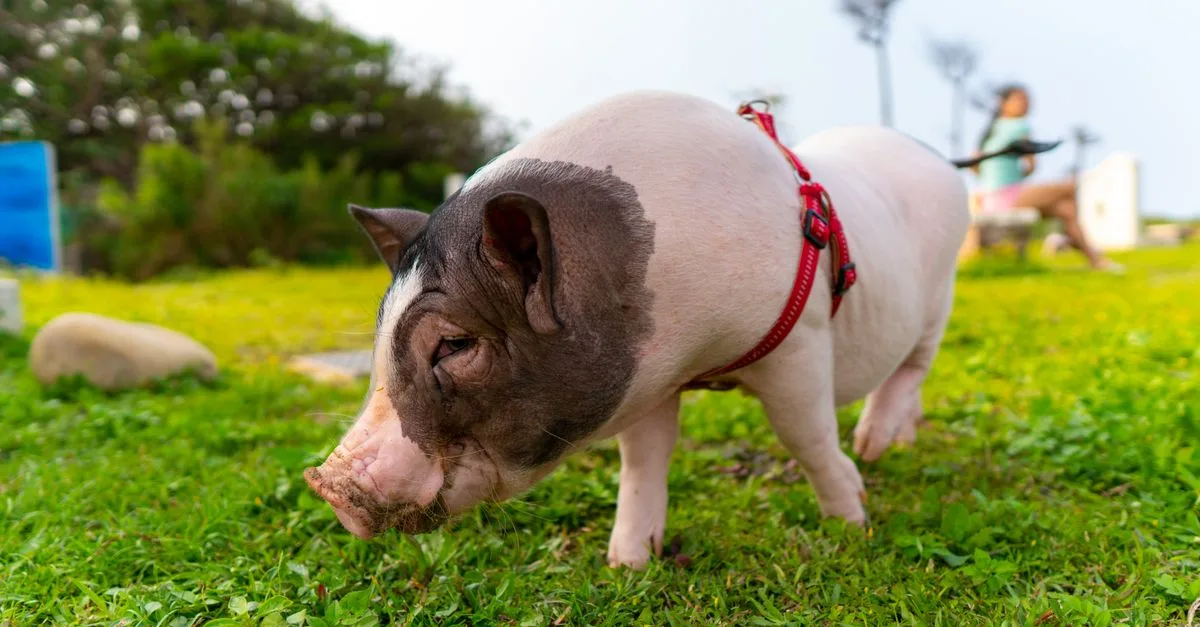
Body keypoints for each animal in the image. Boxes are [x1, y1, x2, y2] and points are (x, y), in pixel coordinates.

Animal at [304, 89, 970, 569]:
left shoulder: (798, 342)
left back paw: (873, 445)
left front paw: (853, 521)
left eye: (455, 345)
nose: (327, 484)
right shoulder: (649, 375)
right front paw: (627, 564)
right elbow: (644, 460)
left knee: (914, 365)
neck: (697, 356)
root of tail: (941, 161)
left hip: (941, 292)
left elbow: (804, 436)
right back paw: (897, 445)